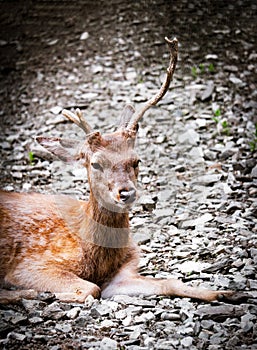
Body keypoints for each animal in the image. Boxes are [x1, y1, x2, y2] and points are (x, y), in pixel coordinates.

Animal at [0, 37, 238, 304]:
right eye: (95, 163)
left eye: (136, 160)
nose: (126, 193)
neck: (96, 257)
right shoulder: (30, 264)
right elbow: (91, 288)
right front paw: (44, 294)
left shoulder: (123, 273)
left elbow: (169, 282)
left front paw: (224, 292)